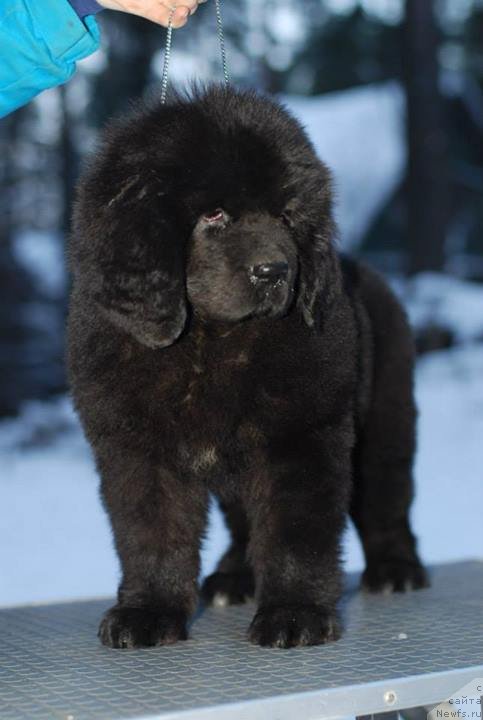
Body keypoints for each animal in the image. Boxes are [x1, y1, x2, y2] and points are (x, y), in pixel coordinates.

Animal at [68, 86, 428, 652]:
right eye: (214, 215)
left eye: (285, 216)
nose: (274, 271)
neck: (210, 344)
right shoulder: (137, 447)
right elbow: (151, 532)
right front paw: (147, 612)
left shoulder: (301, 436)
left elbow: (294, 531)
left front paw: (294, 615)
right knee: (242, 525)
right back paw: (233, 577)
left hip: (385, 418)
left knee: (386, 498)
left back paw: (396, 569)